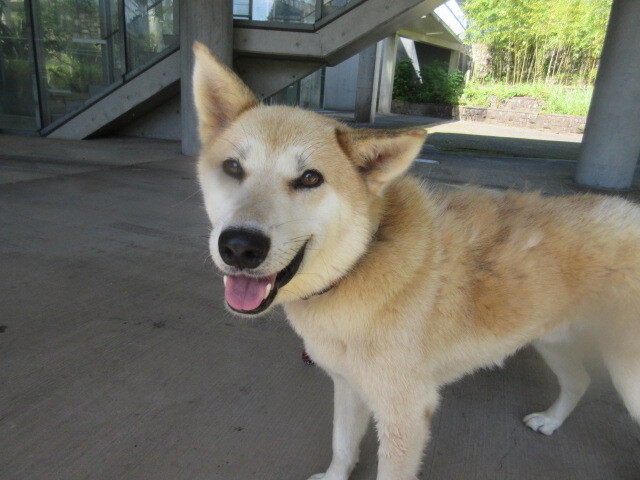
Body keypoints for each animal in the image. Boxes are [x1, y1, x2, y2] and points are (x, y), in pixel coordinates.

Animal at [192, 42, 640, 480]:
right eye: (233, 167)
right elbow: (342, 446)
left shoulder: (404, 416)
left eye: (310, 179)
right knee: (579, 381)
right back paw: (550, 420)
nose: (240, 247)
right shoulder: (349, 385)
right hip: (552, 340)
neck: (360, 263)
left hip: (627, 376)